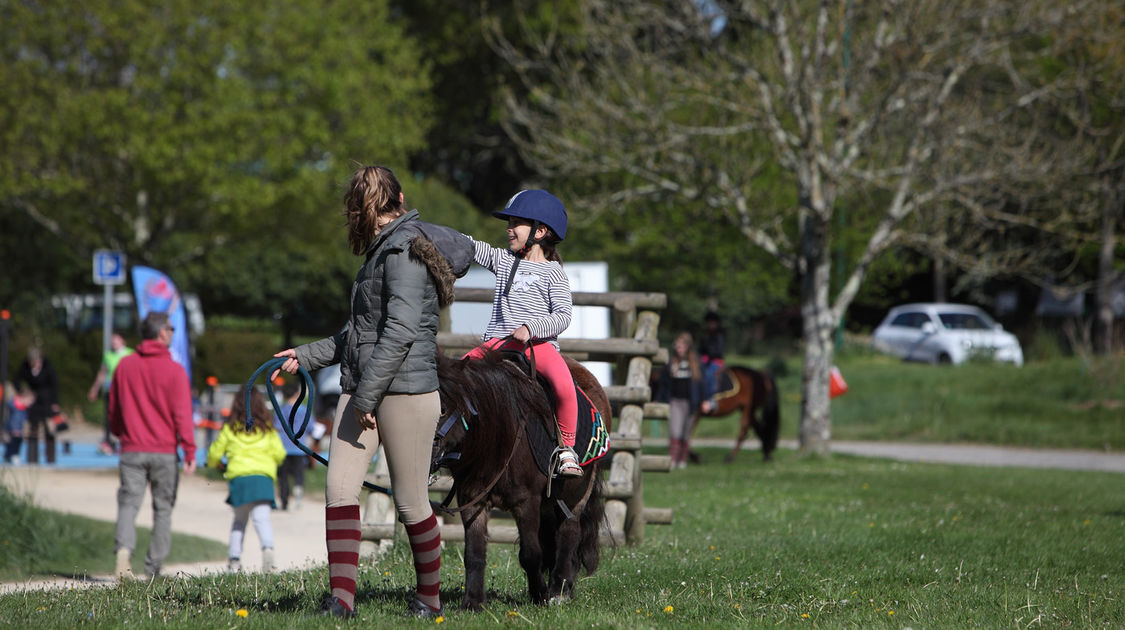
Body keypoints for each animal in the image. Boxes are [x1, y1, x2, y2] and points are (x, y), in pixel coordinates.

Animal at [432, 348, 612, 612]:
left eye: (442, 409)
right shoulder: (472, 500)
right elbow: (474, 552)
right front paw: (472, 603)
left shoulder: (526, 502)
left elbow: (530, 554)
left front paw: (540, 596)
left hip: (579, 491)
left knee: (569, 532)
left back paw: (559, 590)